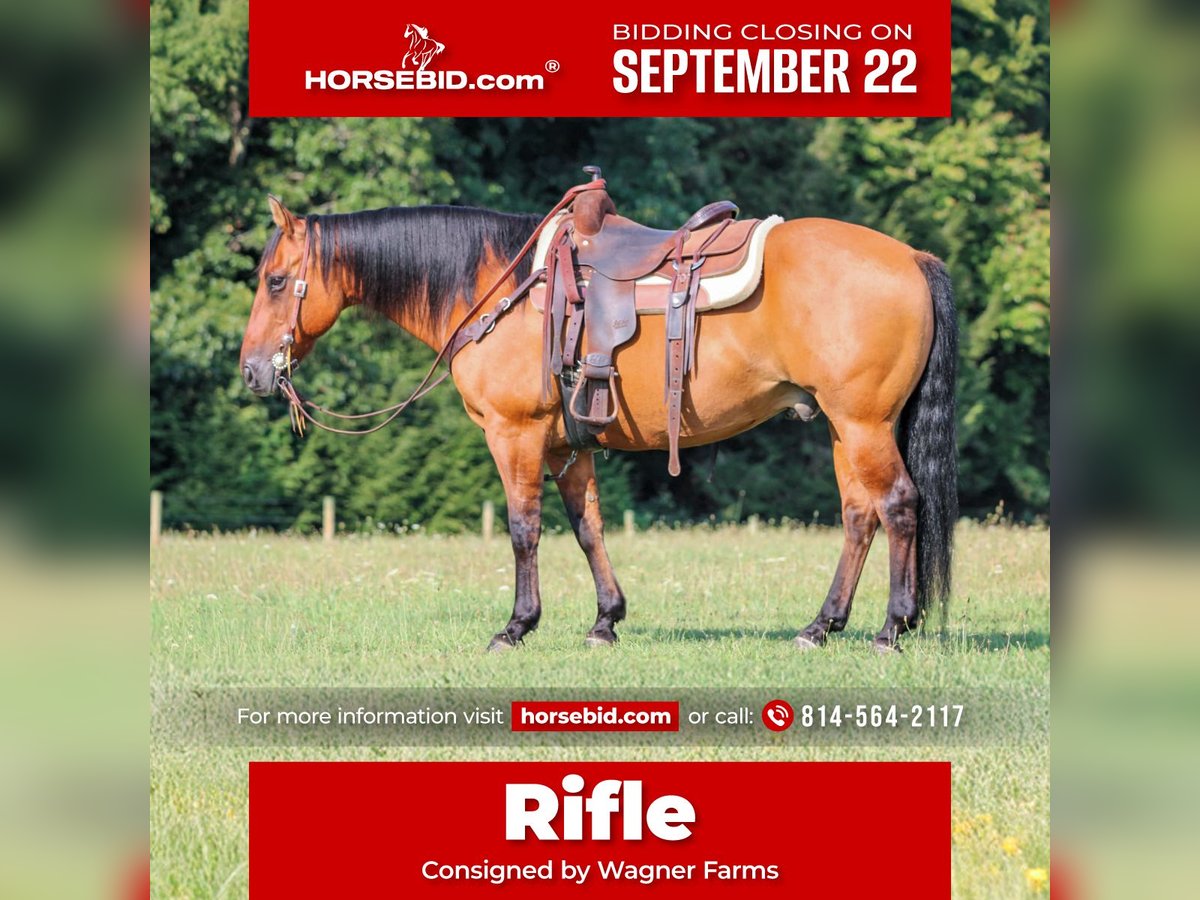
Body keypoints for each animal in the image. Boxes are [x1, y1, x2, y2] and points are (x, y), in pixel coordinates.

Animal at [239, 189, 957, 654]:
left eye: (275, 280)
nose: (251, 371)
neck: (494, 287)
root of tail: (914, 258)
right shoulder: (569, 444)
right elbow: (588, 529)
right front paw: (605, 621)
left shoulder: (515, 434)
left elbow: (523, 529)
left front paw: (516, 626)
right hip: (843, 426)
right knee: (859, 515)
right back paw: (820, 626)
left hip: (863, 423)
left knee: (898, 505)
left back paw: (891, 628)